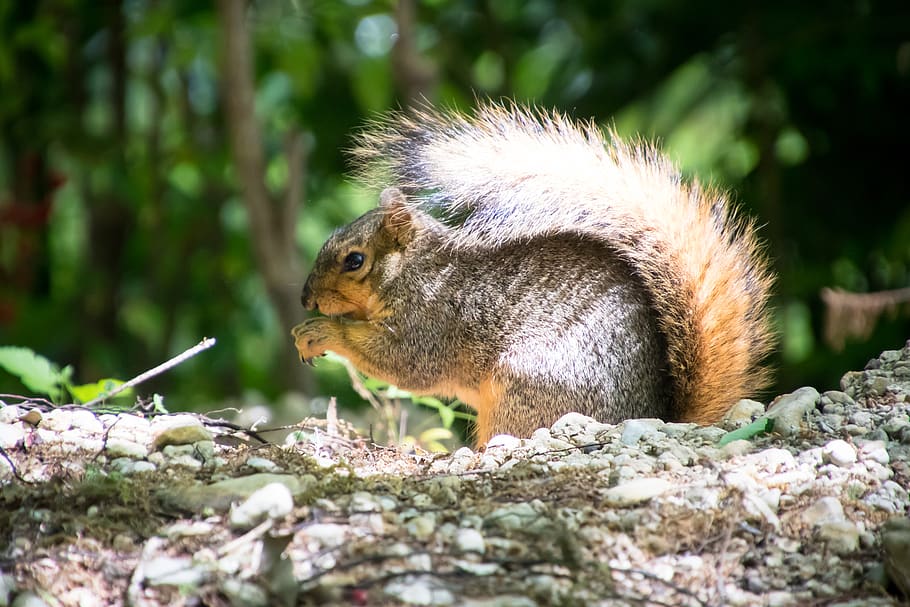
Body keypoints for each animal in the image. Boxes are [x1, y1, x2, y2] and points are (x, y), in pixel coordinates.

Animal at [291, 102, 775, 446]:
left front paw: (320, 331)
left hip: (524, 389)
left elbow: (401, 363)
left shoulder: (432, 322)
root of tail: (655, 414)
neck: (415, 269)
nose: (305, 300)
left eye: (355, 260)